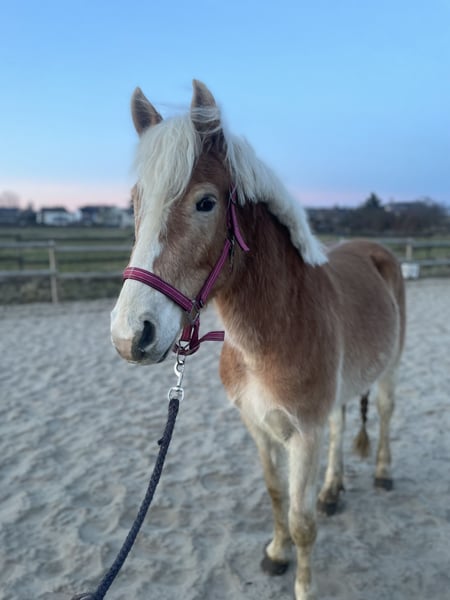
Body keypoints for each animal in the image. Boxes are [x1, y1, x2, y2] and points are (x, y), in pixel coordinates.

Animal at [110, 80, 406, 600]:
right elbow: (275, 494)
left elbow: (302, 520)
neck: (272, 333)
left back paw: (383, 474)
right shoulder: (258, 426)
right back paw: (333, 491)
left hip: (389, 369)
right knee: (340, 426)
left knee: (386, 414)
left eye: (205, 202)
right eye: (135, 202)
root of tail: (377, 252)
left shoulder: (302, 435)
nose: (132, 334)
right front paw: (275, 554)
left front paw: (304, 585)